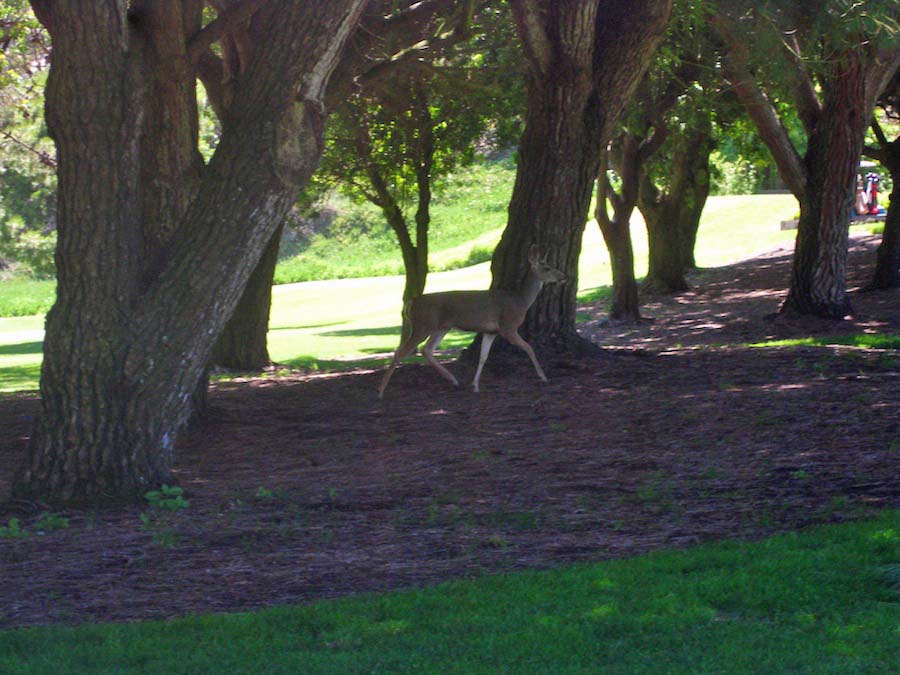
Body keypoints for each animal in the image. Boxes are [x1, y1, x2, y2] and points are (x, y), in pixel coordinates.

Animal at [378, 246, 564, 398]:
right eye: (547, 268)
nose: (563, 276)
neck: (521, 301)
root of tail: (411, 302)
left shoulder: (491, 331)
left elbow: (483, 357)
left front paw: (474, 385)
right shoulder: (508, 326)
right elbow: (529, 348)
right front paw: (543, 376)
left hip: (441, 327)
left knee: (427, 350)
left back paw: (453, 380)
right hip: (422, 325)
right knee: (400, 352)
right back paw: (381, 391)